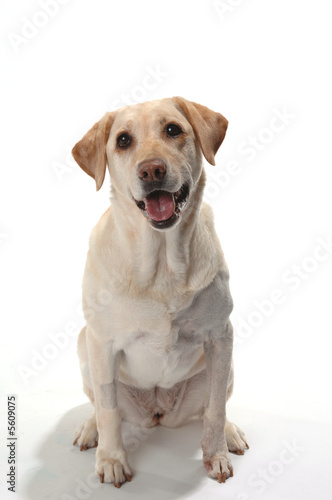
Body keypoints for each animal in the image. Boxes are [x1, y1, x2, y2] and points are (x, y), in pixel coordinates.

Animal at [71, 96, 248, 488]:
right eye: (123, 140)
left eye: (172, 129)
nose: (152, 170)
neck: (161, 266)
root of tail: (158, 411)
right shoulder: (102, 342)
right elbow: (108, 411)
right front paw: (111, 460)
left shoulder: (220, 335)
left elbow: (215, 408)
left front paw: (216, 455)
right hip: (85, 348)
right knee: (100, 405)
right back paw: (90, 430)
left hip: (226, 364)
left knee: (215, 403)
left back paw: (229, 433)